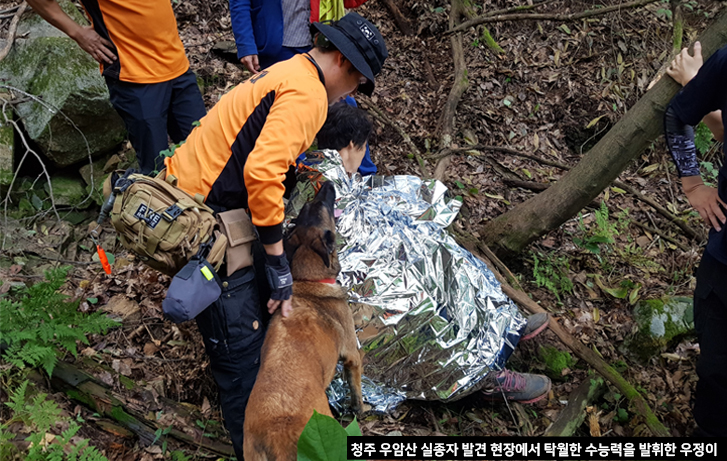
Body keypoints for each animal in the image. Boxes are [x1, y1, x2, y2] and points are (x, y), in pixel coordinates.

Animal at [243, 181, 364, 458]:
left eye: (307, 209)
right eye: (321, 206)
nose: (328, 183)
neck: (309, 281)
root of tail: (274, 437)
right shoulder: (352, 352)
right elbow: (356, 382)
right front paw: (360, 408)